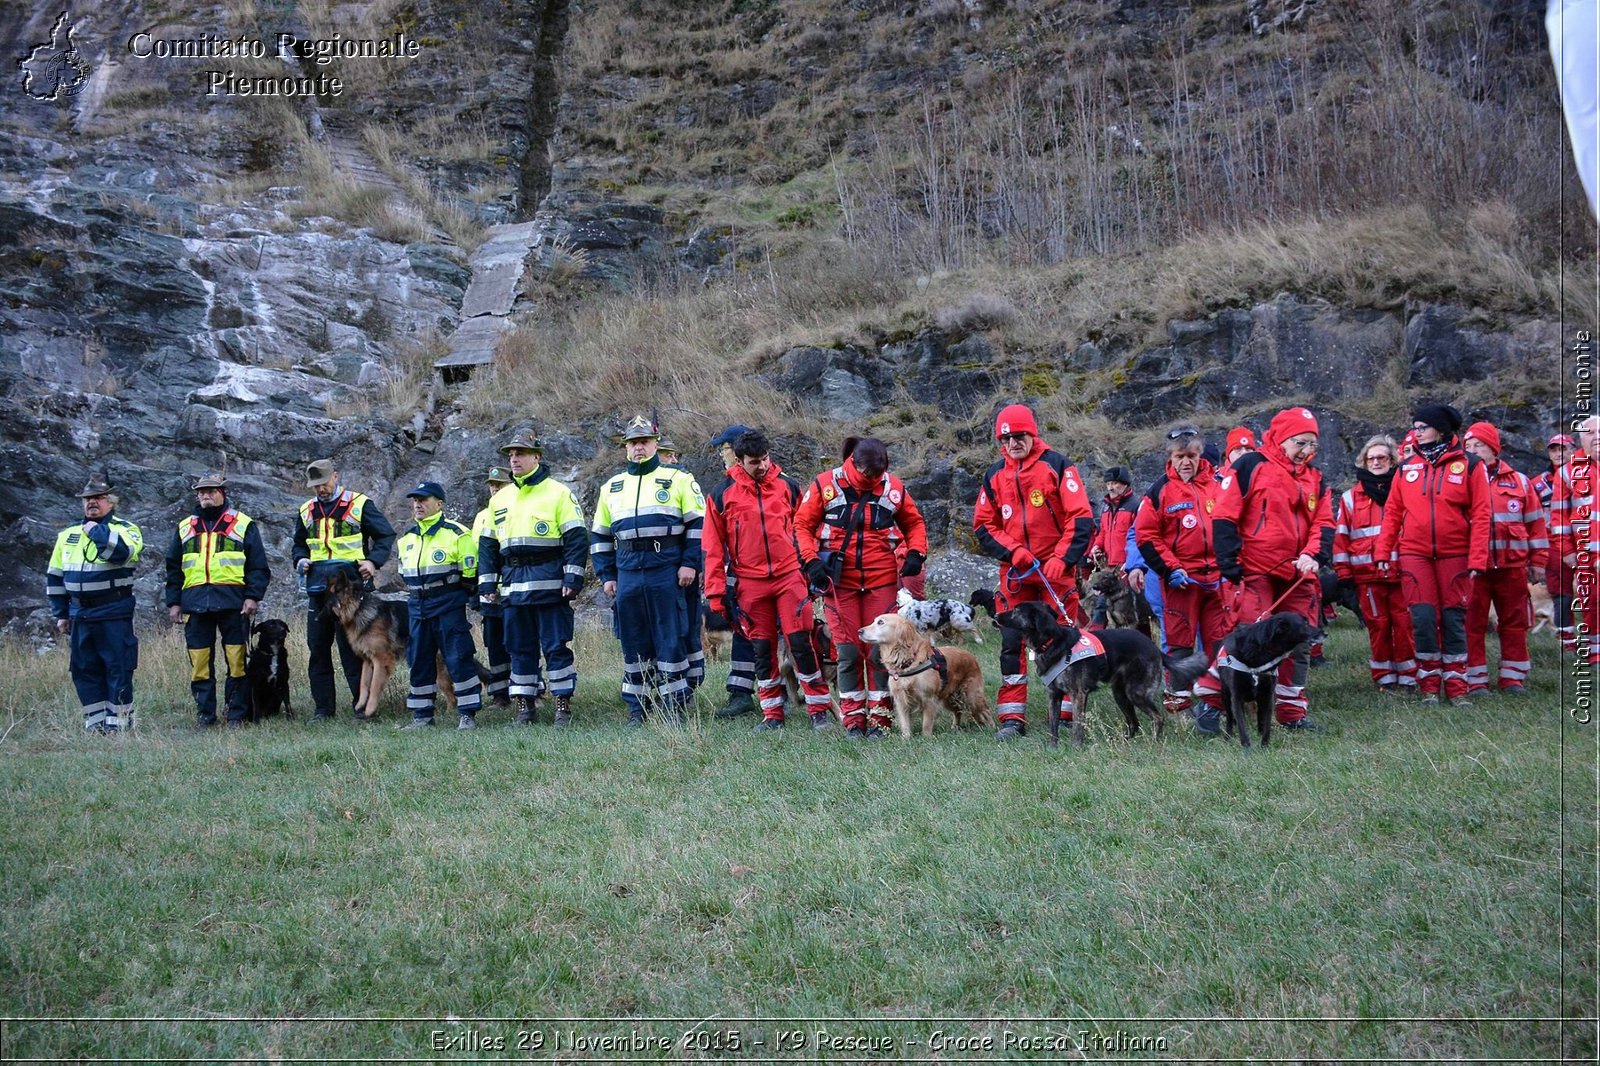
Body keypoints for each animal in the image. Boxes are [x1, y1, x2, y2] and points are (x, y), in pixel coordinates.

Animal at [321, 569, 454, 717]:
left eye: (328, 604)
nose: (316, 618)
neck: (359, 609)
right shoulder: (367, 661)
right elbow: (363, 684)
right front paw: (361, 705)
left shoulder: (382, 660)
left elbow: (374, 685)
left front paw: (369, 710)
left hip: (438, 663)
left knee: (451, 690)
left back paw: (449, 712)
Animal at [857, 611, 992, 736]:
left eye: (881, 622)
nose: (859, 631)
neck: (906, 661)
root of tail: (971, 656)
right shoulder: (901, 700)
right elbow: (905, 724)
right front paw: (906, 739)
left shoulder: (928, 699)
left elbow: (926, 724)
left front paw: (926, 738)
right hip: (948, 698)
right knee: (957, 711)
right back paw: (955, 727)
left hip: (972, 697)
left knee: (986, 710)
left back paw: (991, 727)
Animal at [992, 601, 1203, 742]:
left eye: (1016, 611)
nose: (995, 616)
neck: (1052, 641)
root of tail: (1154, 647)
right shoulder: (1053, 694)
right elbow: (1053, 726)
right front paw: (1053, 748)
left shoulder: (1077, 695)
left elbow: (1078, 726)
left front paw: (1076, 748)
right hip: (1120, 694)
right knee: (1134, 722)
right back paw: (1125, 742)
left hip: (1136, 693)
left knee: (1157, 718)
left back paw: (1154, 742)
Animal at [1216, 605, 1318, 745]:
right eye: (1305, 623)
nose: (1324, 633)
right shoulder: (1236, 697)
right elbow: (1242, 727)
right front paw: (1247, 747)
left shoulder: (1268, 695)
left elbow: (1266, 725)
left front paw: (1264, 746)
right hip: (1225, 694)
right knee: (1231, 718)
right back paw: (1228, 735)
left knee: (1260, 717)